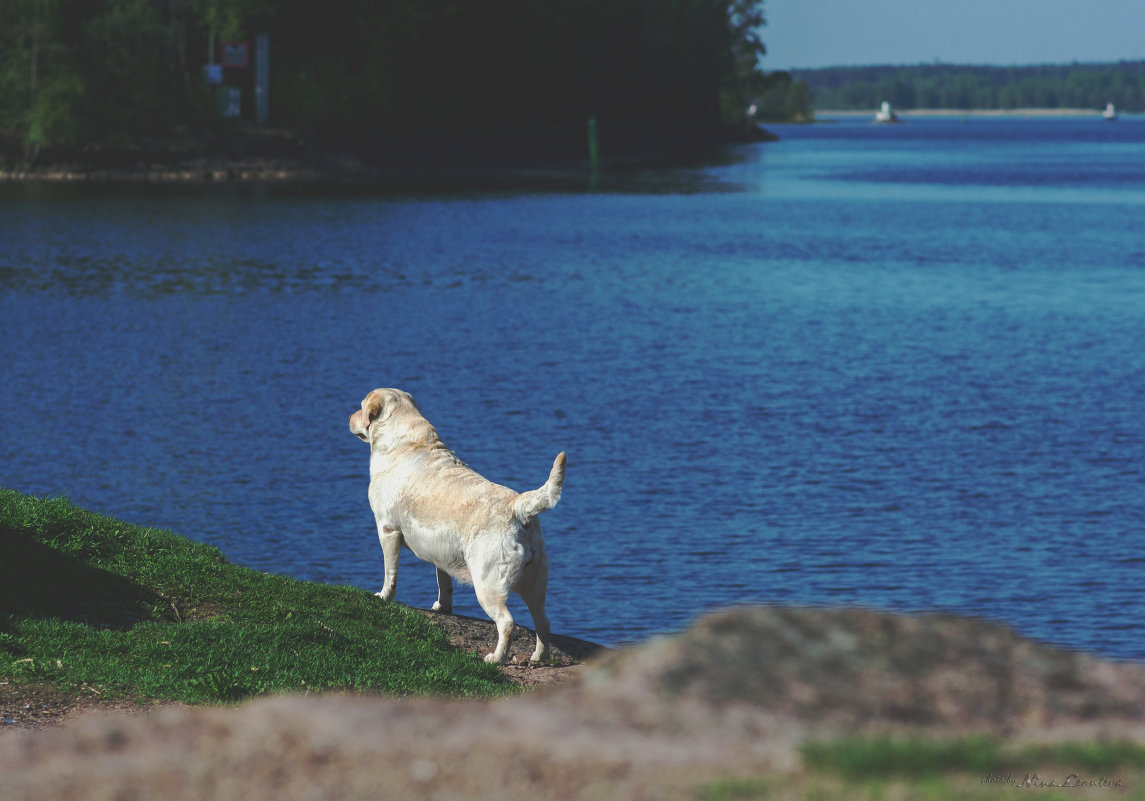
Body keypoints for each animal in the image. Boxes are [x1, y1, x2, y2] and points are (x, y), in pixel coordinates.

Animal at [345, 389, 565, 663]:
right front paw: (443, 607)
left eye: (361, 406)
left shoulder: (387, 530)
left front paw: (383, 596)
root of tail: (517, 506)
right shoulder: (441, 551)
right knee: (543, 622)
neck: (404, 441)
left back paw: (496, 658)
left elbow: (390, 573)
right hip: (535, 584)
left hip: (487, 585)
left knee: (507, 623)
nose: (349, 416)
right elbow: (443, 580)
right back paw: (538, 657)